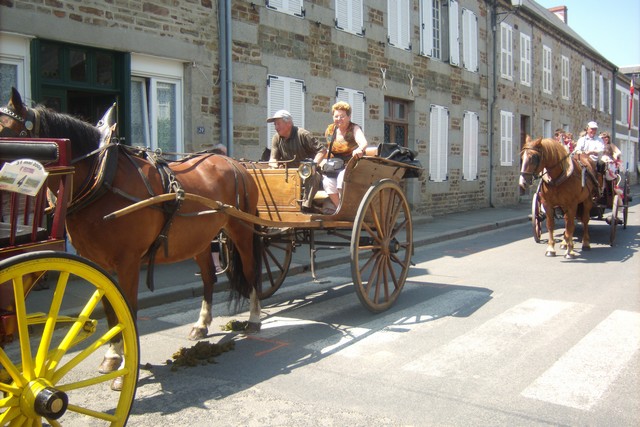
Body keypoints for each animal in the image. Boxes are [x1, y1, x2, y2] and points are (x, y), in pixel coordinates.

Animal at [1, 87, 264, 382]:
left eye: (8, 132)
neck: (103, 178)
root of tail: (234, 163)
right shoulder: (98, 264)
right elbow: (111, 309)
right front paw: (113, 356)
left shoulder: (128, 262)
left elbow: (128, 308)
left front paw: (125, 362)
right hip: (199, 239)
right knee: (209, 277)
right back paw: (201, 324)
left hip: (241, 230)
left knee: (251, 271)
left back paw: (254, 319)